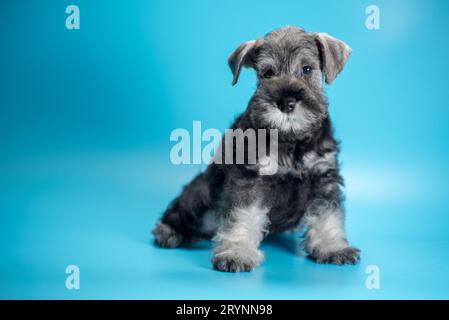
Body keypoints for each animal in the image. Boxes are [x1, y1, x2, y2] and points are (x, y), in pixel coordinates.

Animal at [152, 26, 358, 272]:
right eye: (267, 73)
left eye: (307, 69)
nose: (286, 103)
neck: (290, 140)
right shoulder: (249, 179)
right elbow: (243, 215)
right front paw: (237, 253)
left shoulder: (323, 178)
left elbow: (327, 214)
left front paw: (333, 247)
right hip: (200, 194)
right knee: (182, 211)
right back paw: (168, 232)